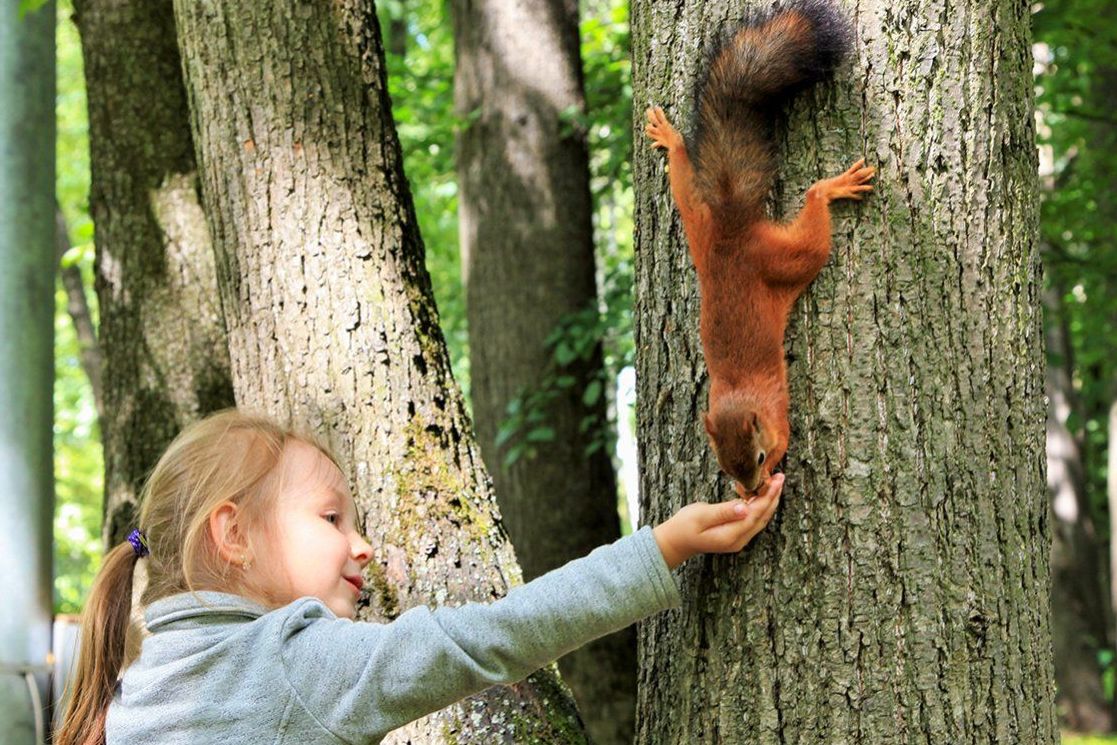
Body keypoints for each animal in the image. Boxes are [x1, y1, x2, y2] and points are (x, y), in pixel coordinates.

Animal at [647, 4, 871, 500]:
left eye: (761, 457)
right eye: (725, 466)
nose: (750, 491)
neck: (739, 397)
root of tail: (733, 229)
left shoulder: (778, 415)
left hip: (782, 258)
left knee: (812, 227)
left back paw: (831, 189)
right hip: (699, 225)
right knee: (684, 184)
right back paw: (670, 138)